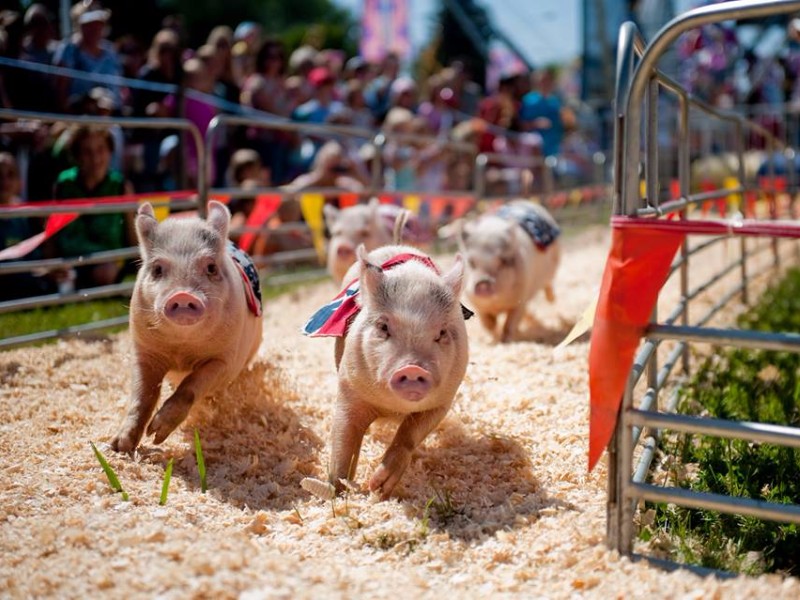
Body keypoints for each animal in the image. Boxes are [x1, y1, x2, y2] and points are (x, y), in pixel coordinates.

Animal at [109, 200, 264, 450]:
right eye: (157, 269)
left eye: (211, 267)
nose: (182, 294)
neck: (182, 349)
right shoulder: (144, 352)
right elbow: (141, 397)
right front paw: (119, 447)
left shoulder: (225, 359)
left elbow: (191, 386)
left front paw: (156, 434)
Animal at [304, 241, 472, 500]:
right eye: (383, 326)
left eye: (442, 332)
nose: (412, 367)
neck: (393, 409)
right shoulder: (348, 387)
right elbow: (342, 439)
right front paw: (339, 491)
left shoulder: (443, 400)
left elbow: (409, 435)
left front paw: (379, 488)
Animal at [460, 200, 560, 342]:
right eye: (471, 262)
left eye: (503, 261)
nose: (483, 283)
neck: (496, 305)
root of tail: (524, 201)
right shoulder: (478, 306)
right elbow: (487, 323)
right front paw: (494, 336)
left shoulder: (520, 301)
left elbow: (510, 324)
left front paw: (505, 341)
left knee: (548, 284)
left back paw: (551, 300)